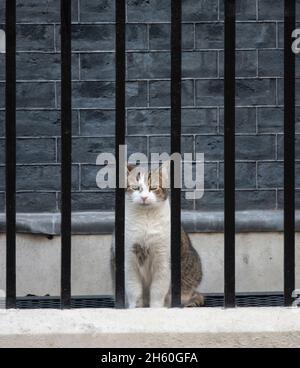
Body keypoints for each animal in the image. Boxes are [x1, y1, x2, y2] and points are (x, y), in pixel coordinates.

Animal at [110, 164, 204, 308]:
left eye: (153, 187)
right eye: (135, 187)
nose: (144, 197)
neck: (146, 218)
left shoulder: (163, 259)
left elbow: (158, 289)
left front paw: (156, 308)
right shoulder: (128, 259)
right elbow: (134, 289)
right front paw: (135, 307)